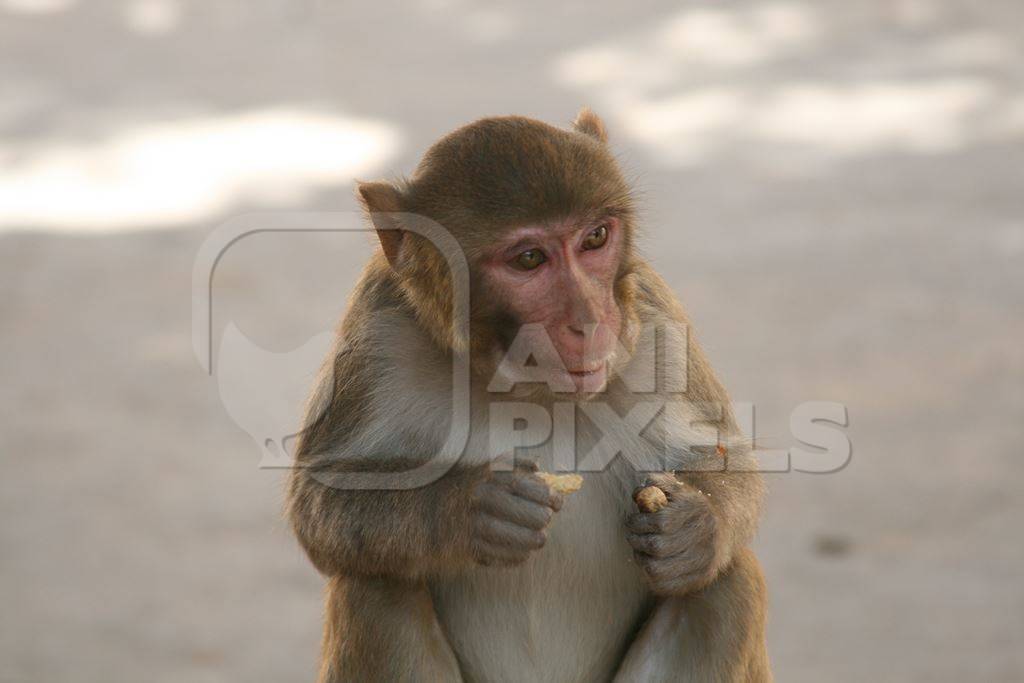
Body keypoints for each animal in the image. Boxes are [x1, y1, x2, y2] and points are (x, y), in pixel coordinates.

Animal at [286, 109, 770, 679]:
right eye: (530, 259)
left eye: (595, 237)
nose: (590, 318)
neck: (529, 390)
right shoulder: (375, 331)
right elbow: (320, 498)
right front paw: (471, 511)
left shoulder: (656, 323)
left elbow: (728, 458)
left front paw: (694, 529)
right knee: (375, 587)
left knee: (726, 584)